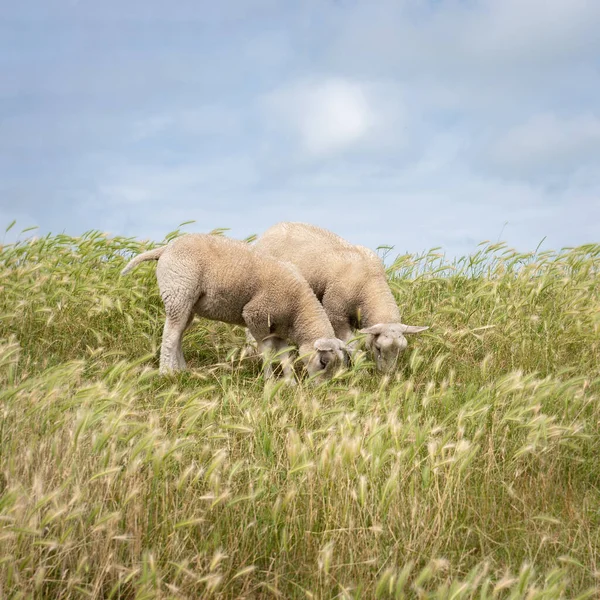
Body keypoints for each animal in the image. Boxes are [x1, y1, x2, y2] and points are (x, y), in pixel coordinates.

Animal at [120, 232, 346, 382]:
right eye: (324, 362)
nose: (320, 388)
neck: (298, 310)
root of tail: (166, 248)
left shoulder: (278, 328)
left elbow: (285, 356)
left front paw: (289, 383)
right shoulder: (256, 316)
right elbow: (267, 353)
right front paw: (269, 381)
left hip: (187, 304)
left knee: (177, 335)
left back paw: (181, 370)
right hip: (178, 293)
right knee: (169, 337)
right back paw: (166, 373)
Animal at [251, 223, 428, 372]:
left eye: (401, 350)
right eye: (378, 348)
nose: (386, 374)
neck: (369, 281)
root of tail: (272, 228)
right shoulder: (336, 316)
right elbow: (353, 346)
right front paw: (359, 372)